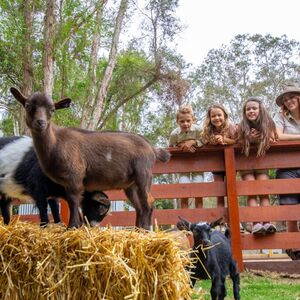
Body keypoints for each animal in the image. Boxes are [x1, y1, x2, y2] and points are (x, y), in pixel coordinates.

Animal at [10, 88, 170, 229]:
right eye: (28, 106)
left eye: (52, 109)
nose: (41, 122)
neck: (56, 142)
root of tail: (152, 148)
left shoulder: (75, 176)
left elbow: (73, 201)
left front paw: (72, 227)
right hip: (130, 184)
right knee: (139, 206)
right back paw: (138, 230)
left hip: (143, 174)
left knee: (149, 202)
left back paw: (146, 230)